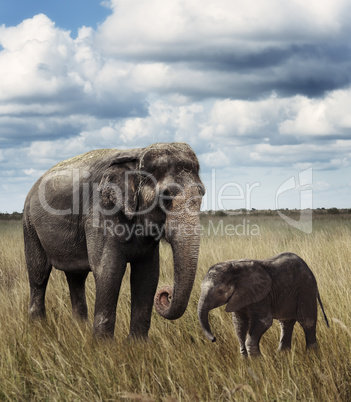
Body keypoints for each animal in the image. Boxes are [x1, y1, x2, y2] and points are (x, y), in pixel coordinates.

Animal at [23, 142, 205, 340]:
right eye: (166, 197)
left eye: (202, 195)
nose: (167, 294)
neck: (137, 154)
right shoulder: (101, 212)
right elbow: (109, 271)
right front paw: (104, 345)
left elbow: (147, 275)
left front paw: (137, 344)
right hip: (29, 224)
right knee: (39, 274)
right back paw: (38, 327)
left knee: (76, 277)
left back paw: (79, 329)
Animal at [198, 253, 330, 356]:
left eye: (220, 291)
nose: (214, 339)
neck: (235, 269)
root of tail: (309, 270)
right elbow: (239, 323)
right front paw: (246, 359)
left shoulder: (261, 296)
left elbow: (264, 321)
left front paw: (257, 361)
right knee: (286, 323)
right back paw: (282, 355)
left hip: (305, 290)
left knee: (307, 322)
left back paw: (311, 355)